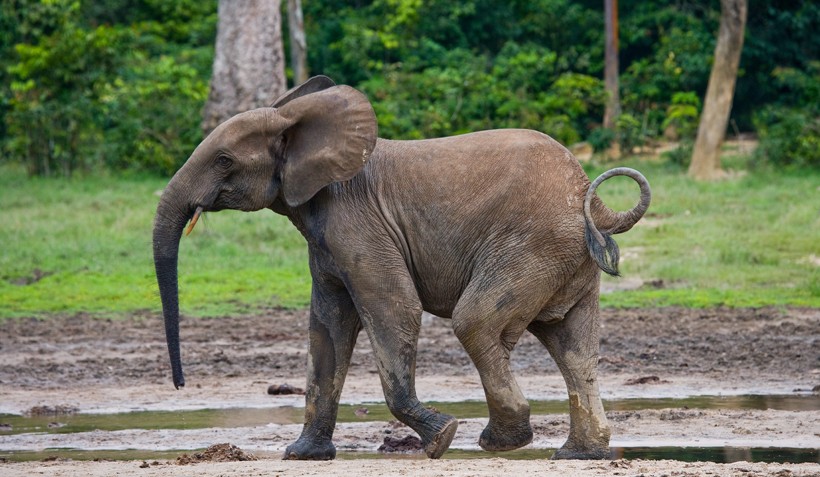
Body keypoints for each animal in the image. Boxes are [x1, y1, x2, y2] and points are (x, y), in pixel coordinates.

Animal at [154, 76, 652, 460]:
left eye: (224, 160)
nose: (179, 385)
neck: (297, 121)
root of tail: (592, 197)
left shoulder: (358, 225)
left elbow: (394, 310)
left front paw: (442, 439)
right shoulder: (329, 242)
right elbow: (327, 327)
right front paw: (303, 455)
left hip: (532, 245)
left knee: (476, 322)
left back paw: (500, 442)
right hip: (564, 257)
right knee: (573, 345)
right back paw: (578, 454)